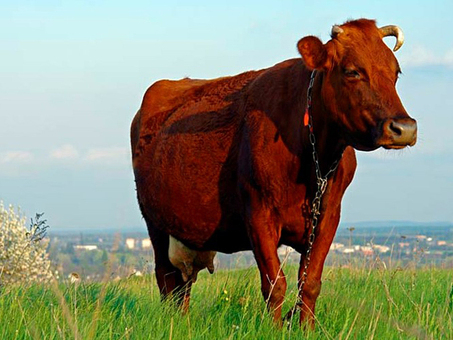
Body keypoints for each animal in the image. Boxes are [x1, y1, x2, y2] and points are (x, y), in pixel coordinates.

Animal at [129, 19, 414, 326]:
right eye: (352, 71)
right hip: (156, 223)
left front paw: (306, 328)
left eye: (396, 72)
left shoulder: (328, 216)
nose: (404, 128)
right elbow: (275, 284)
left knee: (182, 287)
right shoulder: (258, 212)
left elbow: (309, 283)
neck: (313, 162)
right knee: (167, 280)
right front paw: (275, 329)